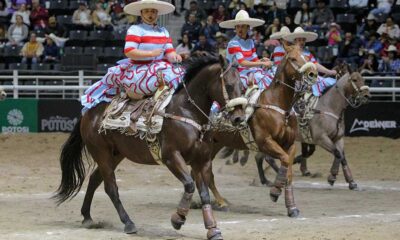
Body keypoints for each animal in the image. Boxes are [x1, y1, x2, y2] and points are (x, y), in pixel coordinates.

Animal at [52, 54, 247, 240]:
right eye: (229, 86)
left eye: (242, 87)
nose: (239, 118)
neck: (186, 112)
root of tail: (88, 112)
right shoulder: (171, 157)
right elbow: (190, 185)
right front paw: (178, 219)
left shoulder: (201, 161)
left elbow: (204, 194)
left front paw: (212, 229)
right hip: (102, 153)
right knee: (111, 187)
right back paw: (128, 223)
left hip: (115, 155)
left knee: (94, 179)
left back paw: (87, 217)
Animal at [205, 43, 318, 218]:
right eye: (293, 58)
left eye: (306, 56)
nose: (312, 73)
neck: (279, 107)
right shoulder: (266, 142)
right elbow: (284, 161)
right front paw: (275, 191)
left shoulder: (290, 145)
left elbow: (288, 170)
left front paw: (291, 207)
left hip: (216, 144)